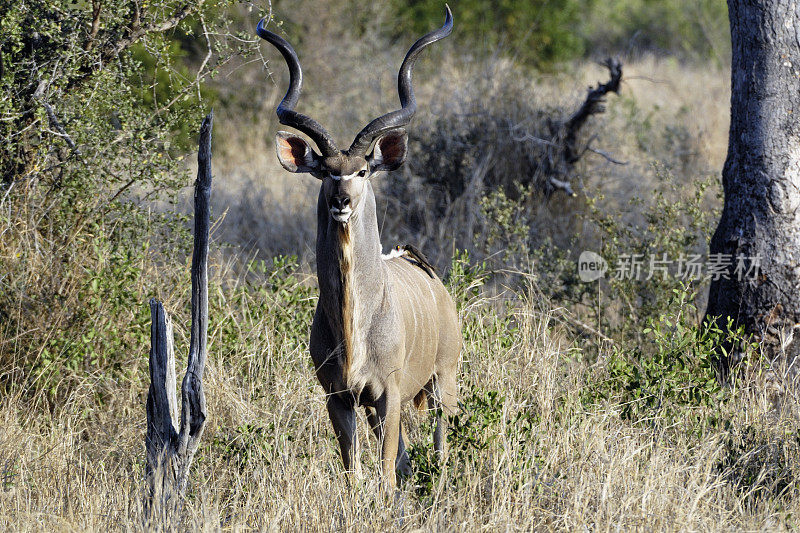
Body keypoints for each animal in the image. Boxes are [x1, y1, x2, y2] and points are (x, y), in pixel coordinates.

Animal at [256, 6, 456, 486]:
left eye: (362, 171)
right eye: (326, 170)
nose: (341, 202)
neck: (354, 326)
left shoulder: (388, 394)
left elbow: (382, 476)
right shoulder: (340, 398)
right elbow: (354, 474)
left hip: (444, 382)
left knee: (439, 450)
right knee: (405, 459)